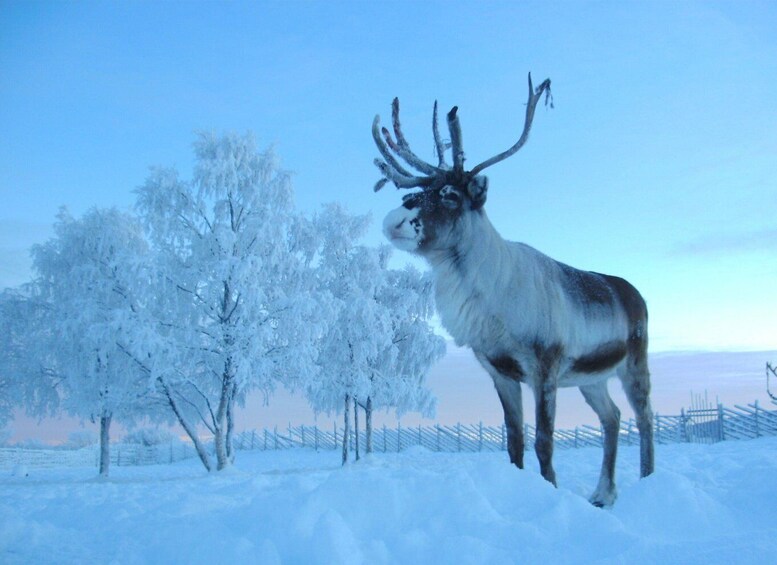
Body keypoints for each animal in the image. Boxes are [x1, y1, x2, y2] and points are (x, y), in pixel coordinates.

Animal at [372, 74, 654, 507]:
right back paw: (602, 494)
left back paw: (648, 484)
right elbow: (514, 441)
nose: (394, 220)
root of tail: (635, 294)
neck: (494, 297)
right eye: (413, 192)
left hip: (634, 361)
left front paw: (550, 490)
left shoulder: (545, 366)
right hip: (591, 378)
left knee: (643, 418)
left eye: (451, 195)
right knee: (613, 417)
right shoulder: (499, 371)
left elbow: (543, 442)